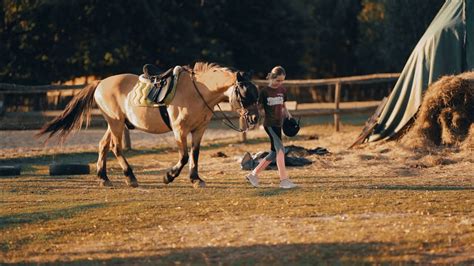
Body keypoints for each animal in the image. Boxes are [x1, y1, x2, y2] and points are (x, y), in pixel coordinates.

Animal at [37, 61, 260, 189]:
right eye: (245, 94)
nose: (255, 119)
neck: (197, 91)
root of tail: (100, 83)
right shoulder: (180, 130)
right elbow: (184, 156)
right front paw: (168, 176)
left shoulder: (199, 130)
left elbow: (194, 155)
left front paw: (196, 179)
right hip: (116, 123)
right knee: (116, 148)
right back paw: (130, 177)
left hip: (114, 124)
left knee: (103, 146)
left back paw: (104, 178)